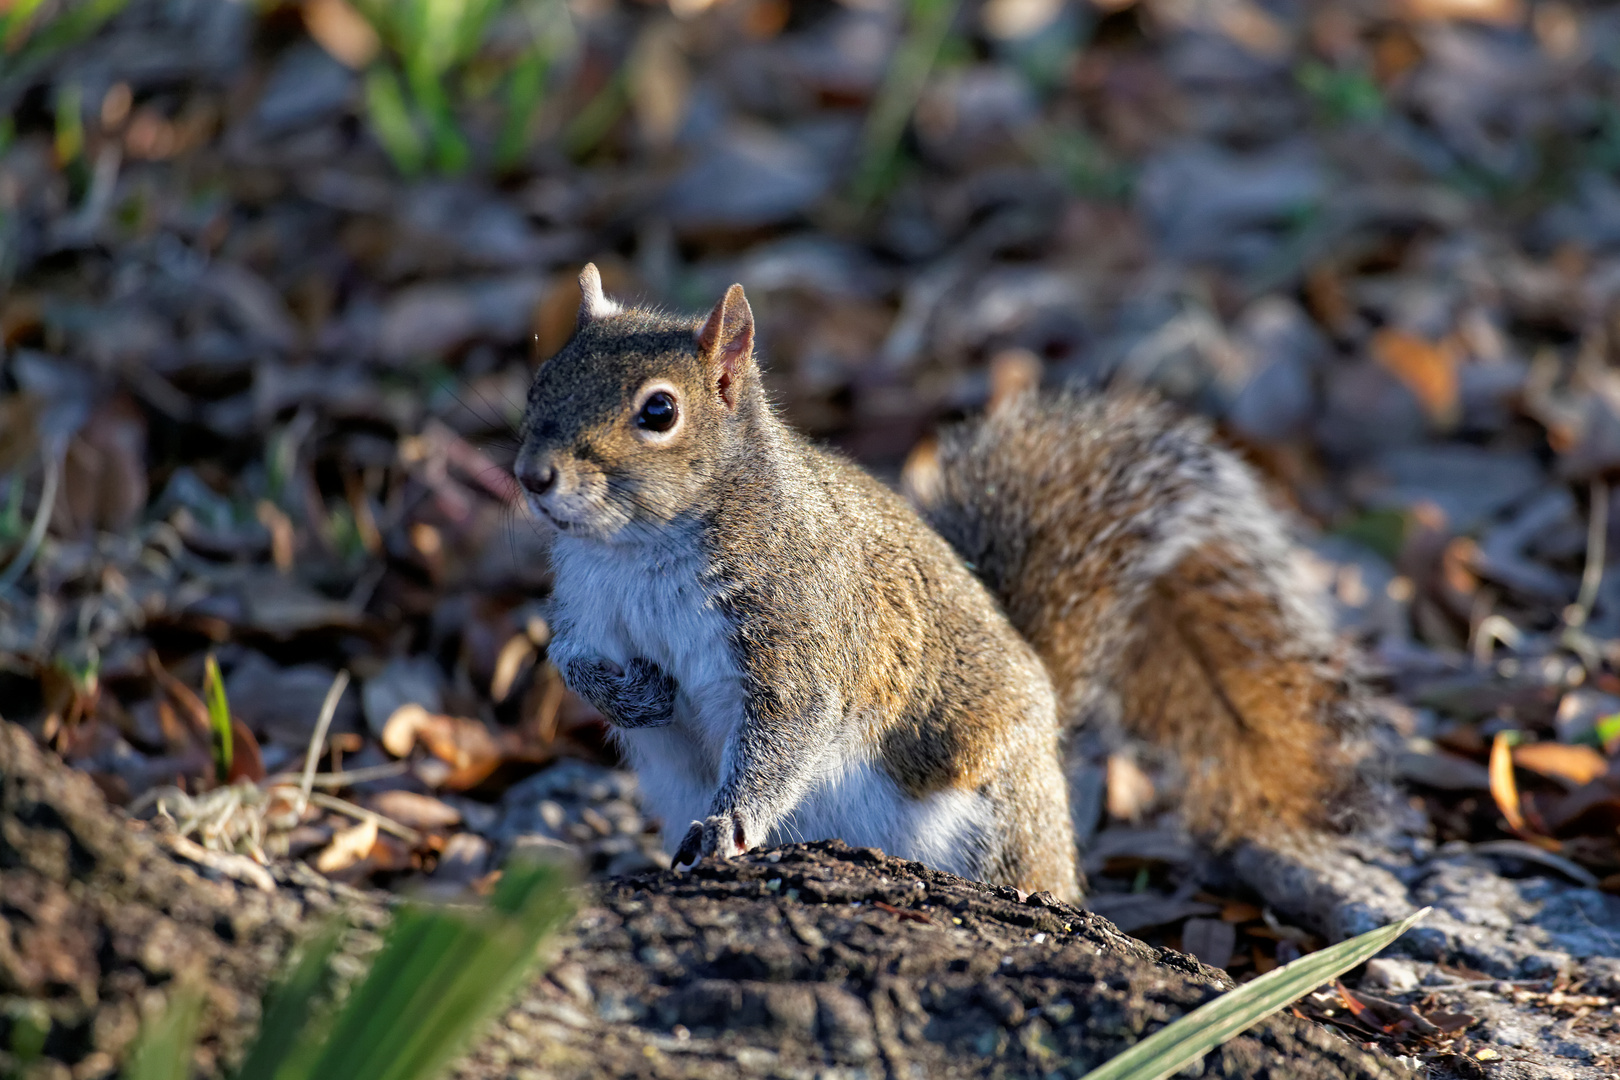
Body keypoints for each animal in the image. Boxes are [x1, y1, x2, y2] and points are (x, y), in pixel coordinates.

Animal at [518, 265, 1380, 900]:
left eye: (659, 411)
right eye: (538, 384)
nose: (532, 476)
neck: (639, 550)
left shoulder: (798, 622)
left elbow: (787, 729)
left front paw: (728, 823)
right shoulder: (587, 606)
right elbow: (570, 661)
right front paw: (637, 696)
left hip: (991, 821)